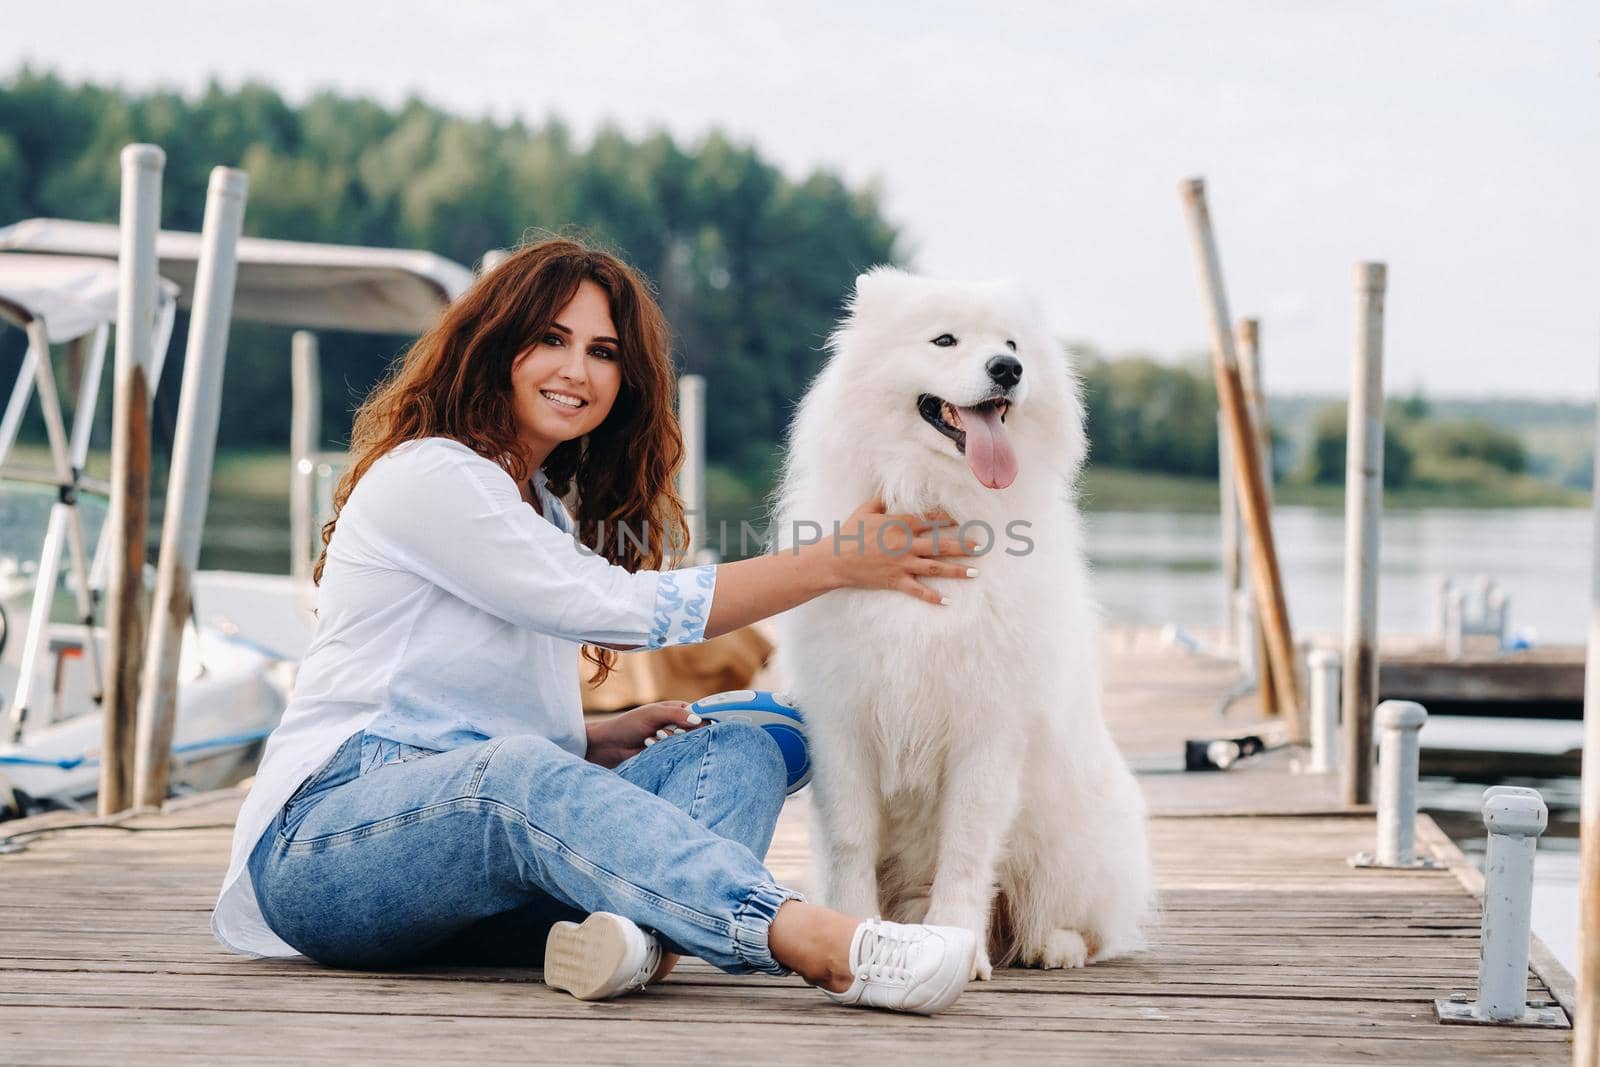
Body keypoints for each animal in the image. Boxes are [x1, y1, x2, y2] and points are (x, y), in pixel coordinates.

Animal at [771, 267, 1152, 979]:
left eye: (1012, 343)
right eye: (944, 340)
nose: (1007, 369)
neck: (940, 502)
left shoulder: (989, 727)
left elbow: (968, 846)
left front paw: (957, 940)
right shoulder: (842, 720)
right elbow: (850, 840)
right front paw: (852, 925)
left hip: (1074, 834)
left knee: (1070, 921)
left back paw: (1048, 946)